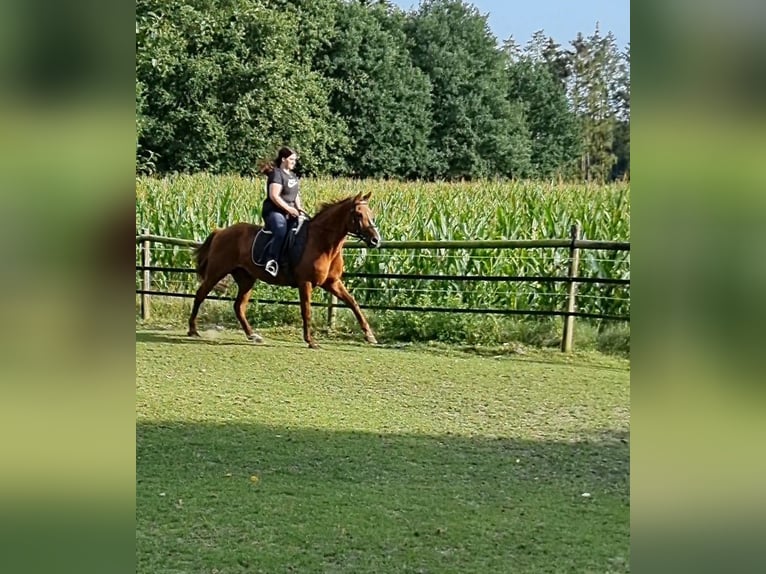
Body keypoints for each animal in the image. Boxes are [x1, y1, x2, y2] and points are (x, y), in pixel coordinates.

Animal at [189, 192, 380, 352]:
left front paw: (370, 336)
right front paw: (311, 341)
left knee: (238, 306)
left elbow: (353, 303)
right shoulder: (305, 283)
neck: (323, 243)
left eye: (371, 214)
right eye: (358, 214)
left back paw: (253, 335)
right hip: (216, 272)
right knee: (200, 294)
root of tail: (221, 231)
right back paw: (192, 330)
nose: (375, 240)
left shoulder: (332, 283)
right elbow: (306, 311)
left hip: (246, 279)